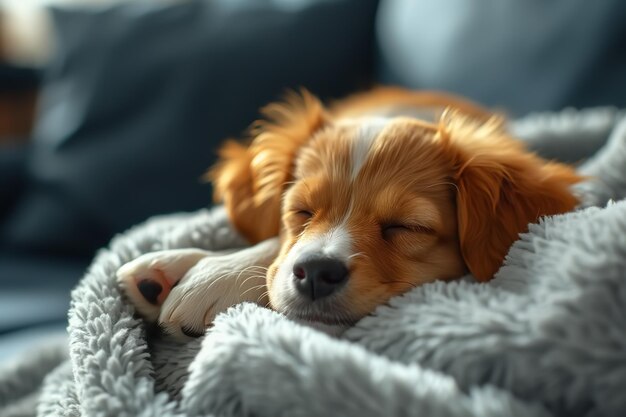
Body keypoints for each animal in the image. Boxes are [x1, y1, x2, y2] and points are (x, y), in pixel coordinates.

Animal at [116, 88, 580, 338]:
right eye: (300, 211)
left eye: (406, 226)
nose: (317, 273)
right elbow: (276, 243)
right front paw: (192, 267)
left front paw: (211, 278)